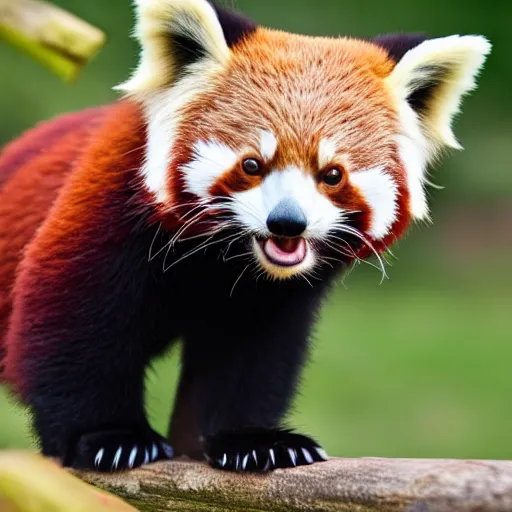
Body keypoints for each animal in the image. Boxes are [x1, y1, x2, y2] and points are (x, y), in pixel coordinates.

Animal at [0, 0, 488, 472]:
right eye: (252, 164)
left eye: (332, 174)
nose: (287, 222)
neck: (223, 258)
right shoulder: (112, 204)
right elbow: (76, 324)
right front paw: (108, 436)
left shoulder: (270, 296)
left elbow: (251, 357)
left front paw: (250, 441)